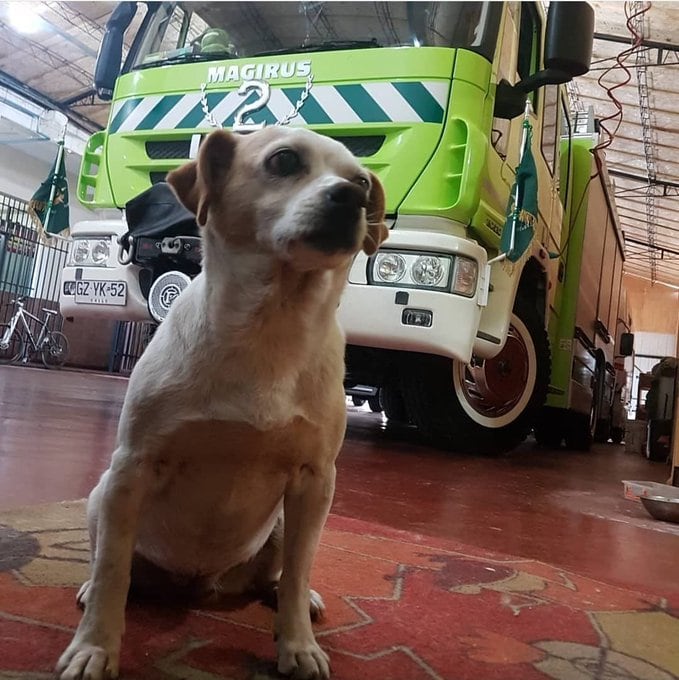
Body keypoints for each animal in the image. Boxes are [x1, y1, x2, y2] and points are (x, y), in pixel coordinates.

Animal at [57, 127, 388, 680]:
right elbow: (111, 573)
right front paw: (95, 648)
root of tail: (200, 585)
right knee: (111, 563)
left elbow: (299, 571)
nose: (352, 197)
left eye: (362, 180)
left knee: (281, 575)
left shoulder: (315, 480)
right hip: (102, 497)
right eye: (284, 160)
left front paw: (297, 645)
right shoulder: (133, 467)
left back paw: (292, 597)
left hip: (281, 524)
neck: (270, 327)